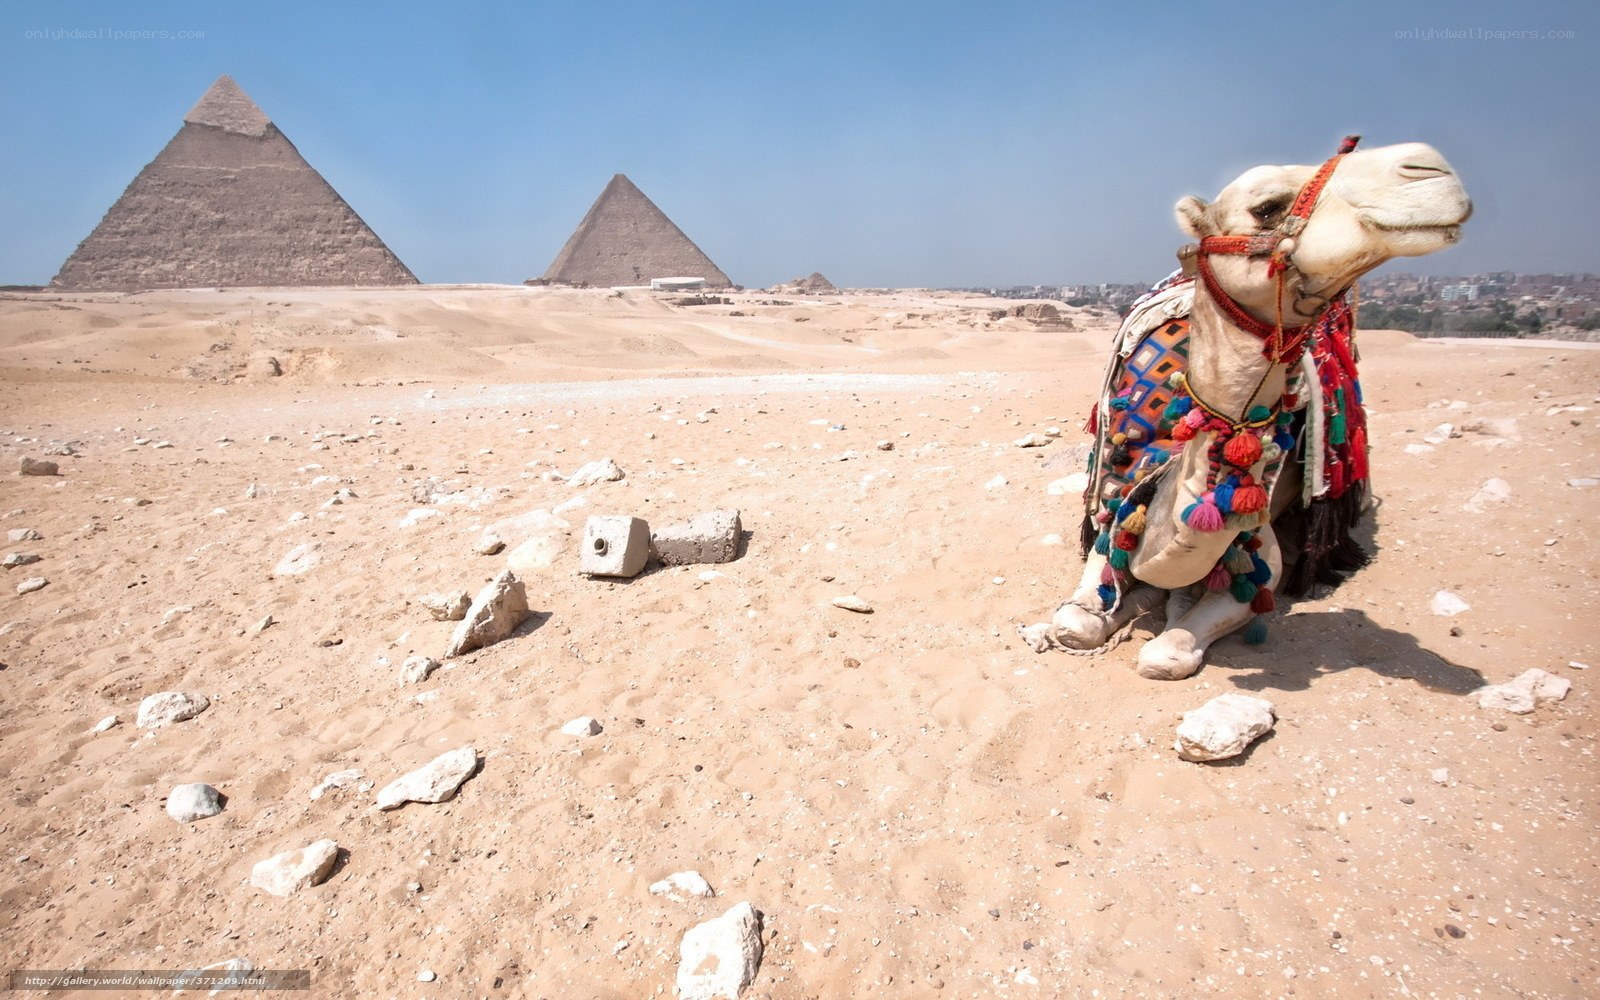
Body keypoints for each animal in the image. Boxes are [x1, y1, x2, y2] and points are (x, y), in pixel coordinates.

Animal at [1046, 137, 1471, 679]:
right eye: (1267, 207)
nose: (1427, 166)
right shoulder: (1113, 511)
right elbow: (1074, 623)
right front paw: (1136, 600)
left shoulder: (1258, 561)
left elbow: (1169, 651)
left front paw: (1171, 606)